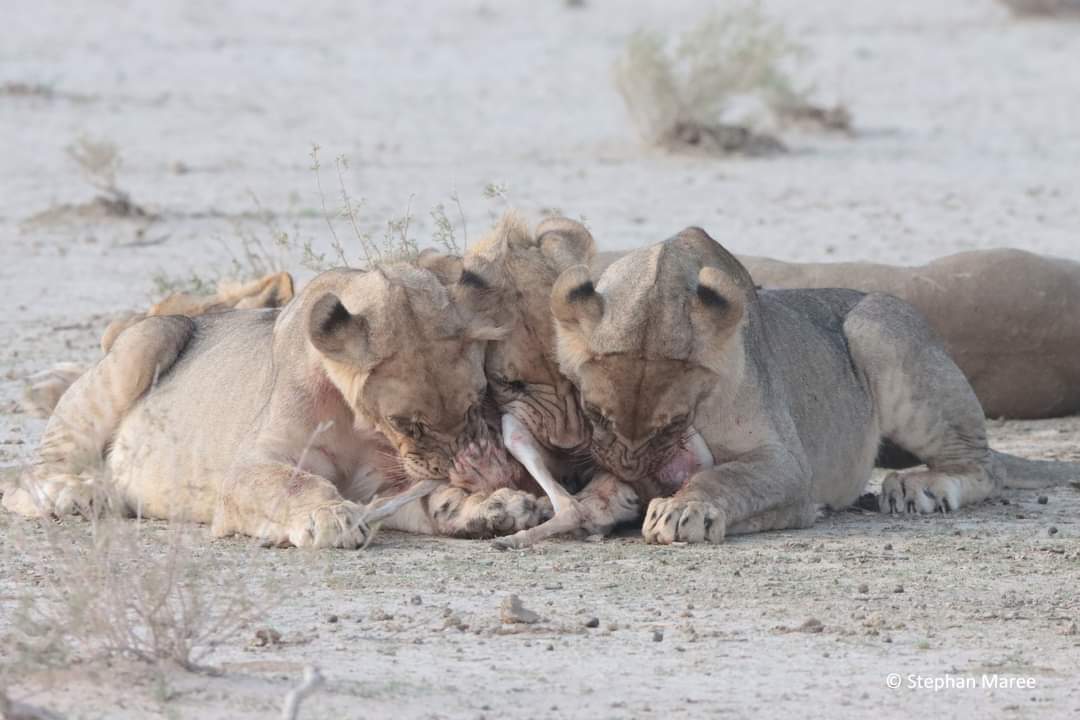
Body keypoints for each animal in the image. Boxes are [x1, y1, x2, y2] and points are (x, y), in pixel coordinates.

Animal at [3, 263, 547, 546]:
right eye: (405, 423)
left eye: (477, 403)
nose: (478, 469)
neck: (357, 423)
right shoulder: (246, 469)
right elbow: (293, 482)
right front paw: (327, 517)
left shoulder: (381, 485)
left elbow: (431, 499)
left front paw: (495, 506)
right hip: (151, 338)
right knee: (26, 474)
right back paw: (75, 494)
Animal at [551, 228, 1079, 544]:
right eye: (593, 414)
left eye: (676, 422)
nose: (635, 474)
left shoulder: (788, 463)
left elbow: (726, 477)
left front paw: (684, 509)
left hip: (875, 328)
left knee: (986, 466)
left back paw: (920, 487)